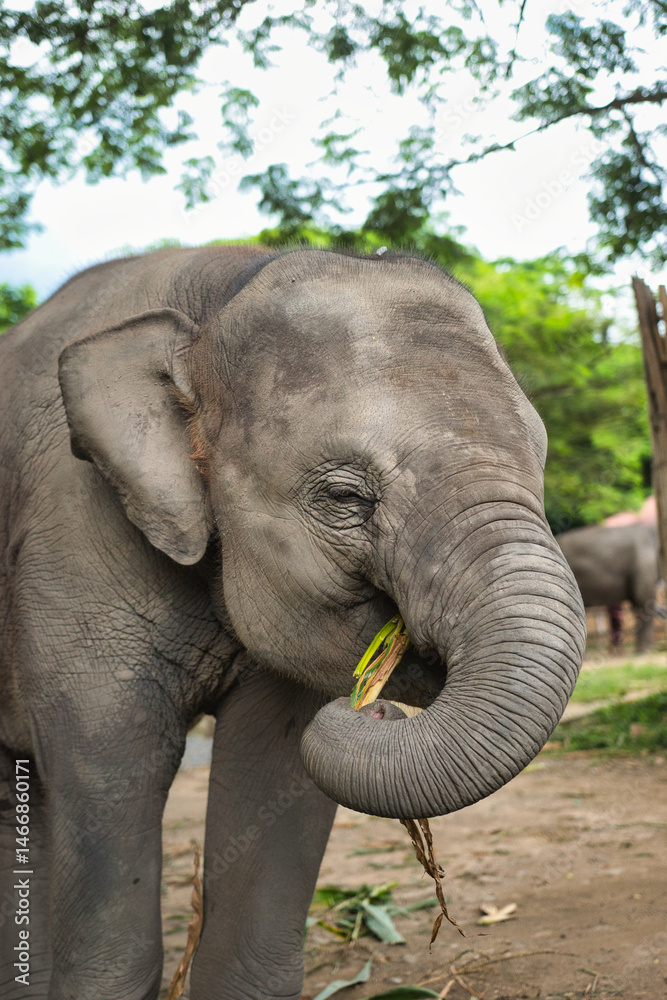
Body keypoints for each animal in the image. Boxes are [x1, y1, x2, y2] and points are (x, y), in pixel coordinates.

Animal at [0, 244, 586, 1000]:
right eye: (344, 497)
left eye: (539, 460)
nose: (371, 702)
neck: (213, 298)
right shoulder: (69, 539)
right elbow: (115, 766)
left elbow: (277, 773)